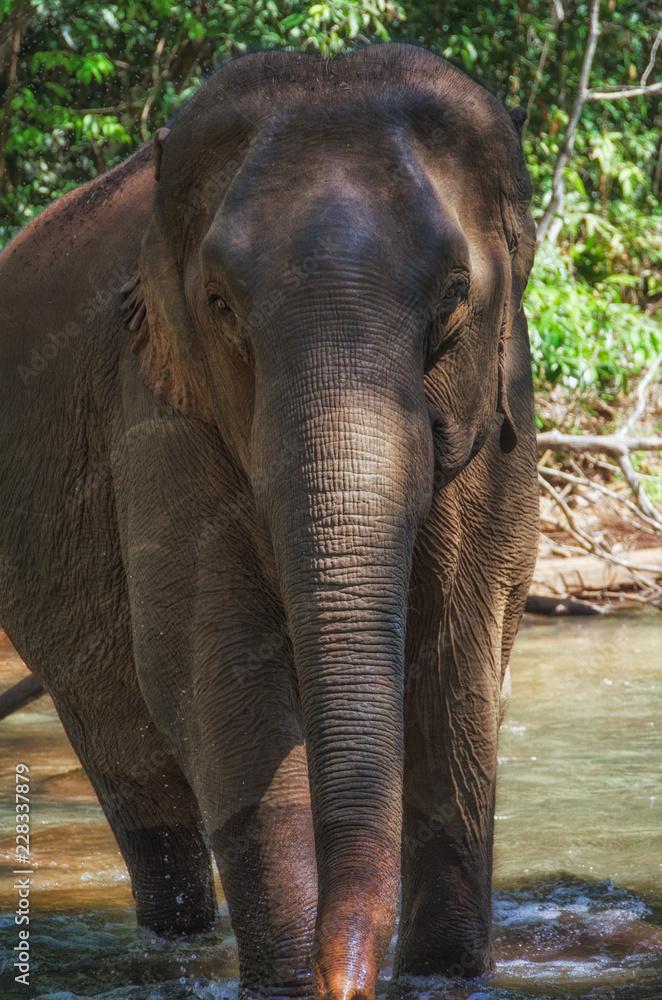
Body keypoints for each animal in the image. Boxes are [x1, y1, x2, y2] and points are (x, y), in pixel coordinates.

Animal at [0, 43, 538, 1000]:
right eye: (220, 304)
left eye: (451, 297)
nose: (344, 982)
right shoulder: (155, 403)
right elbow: (212, 659)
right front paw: (288, 981)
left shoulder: (503, 409)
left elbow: (461, 652)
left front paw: (445, 976)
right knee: (137, 778)